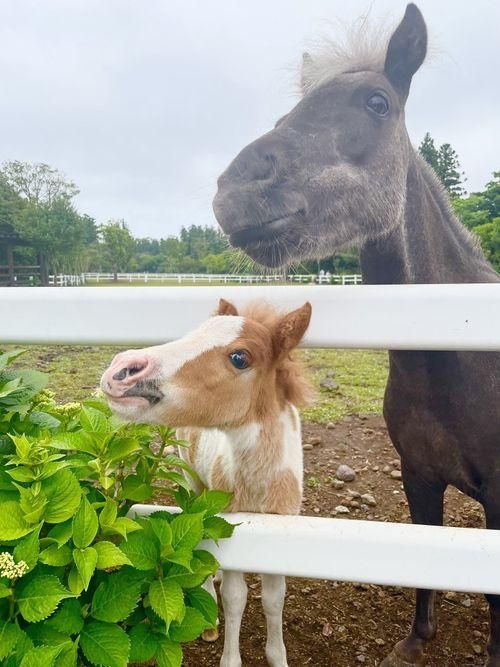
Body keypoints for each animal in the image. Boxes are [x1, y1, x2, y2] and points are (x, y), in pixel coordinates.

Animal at [100, 298, 312, 667]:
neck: (258, 492)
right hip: (194, 483)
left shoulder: (281, 532)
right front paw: (230, 656)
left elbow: (274, 599)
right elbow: (235, 597)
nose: (121, 369)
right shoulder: (234, 528)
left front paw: (277, 656)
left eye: (240, 357)